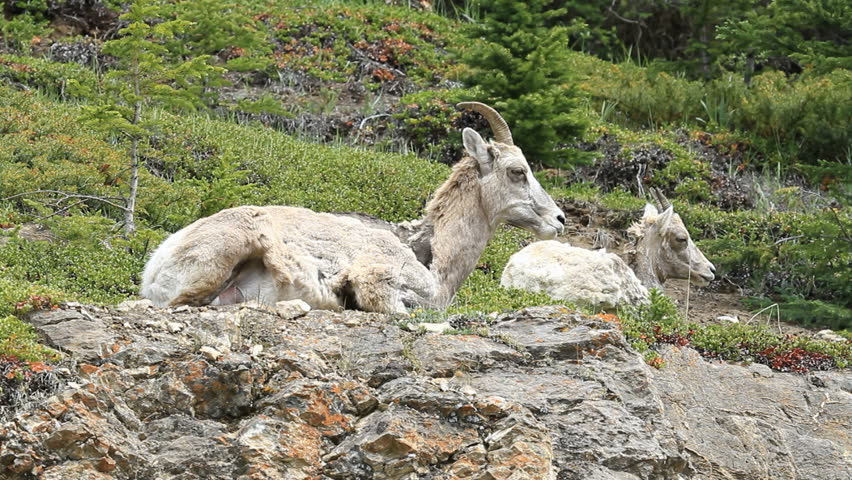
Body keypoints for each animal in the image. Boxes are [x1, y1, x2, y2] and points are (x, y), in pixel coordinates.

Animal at [141, 102, 567, 313]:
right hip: (224, 254)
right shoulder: (378, 279)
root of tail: (158, 262)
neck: (431, 255)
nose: (558, 220)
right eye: (517, 171)